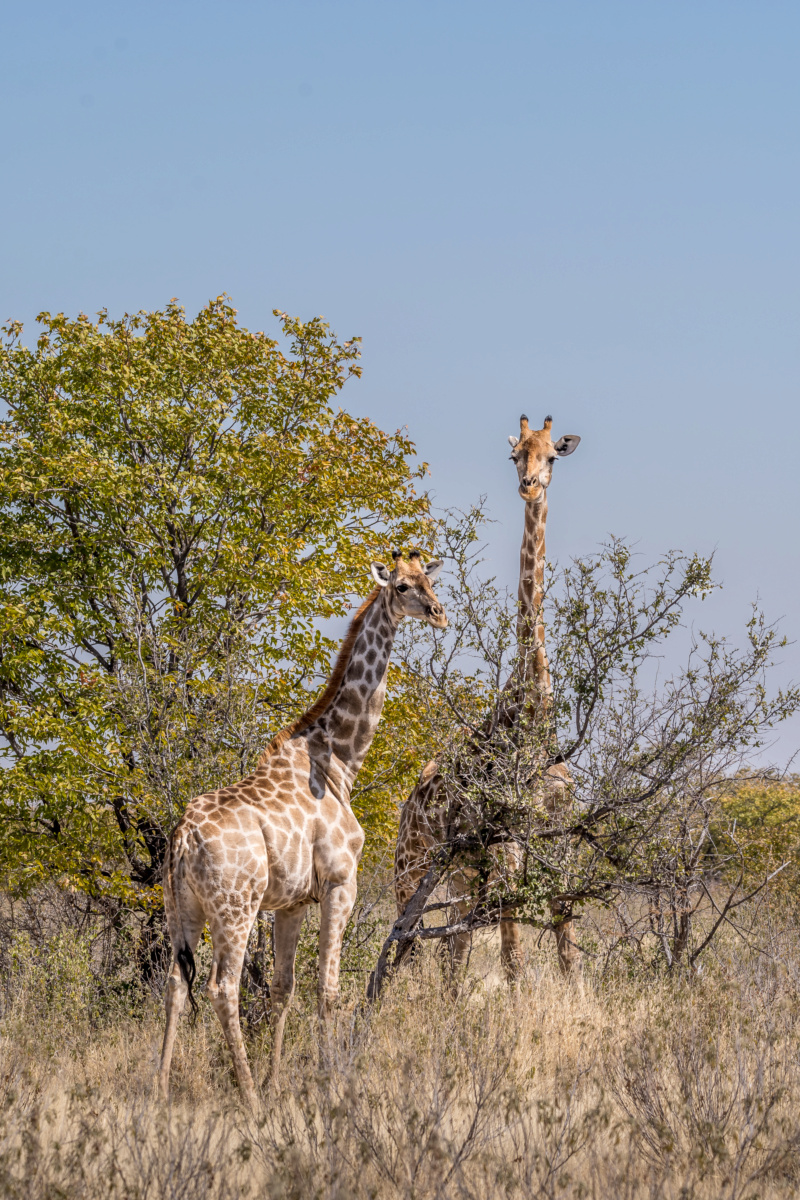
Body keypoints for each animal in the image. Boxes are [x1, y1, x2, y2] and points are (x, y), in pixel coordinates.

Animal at [155, 552, 443, 1104]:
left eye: (429, 580)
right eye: (401, 586)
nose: (438, 613)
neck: (339, 760)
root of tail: (182, 838)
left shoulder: (290, 902)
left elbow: (284, 987)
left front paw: (277, 1080)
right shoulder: (340, 882)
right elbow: (327, 988)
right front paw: (329, 1081)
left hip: (182, 908)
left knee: (176, 984)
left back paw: (156, 1087)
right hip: (236, 906)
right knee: (222, 987)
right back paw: (245, 1096)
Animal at [395, 417, 578, 979]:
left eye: (553, 456)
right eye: (515, 455)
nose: (530, 487)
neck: (532, 716)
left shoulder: (558, 838)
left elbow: (566, 942)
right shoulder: (506, 845)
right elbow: (514, 951)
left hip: (459, 870)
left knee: (454, 950)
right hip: (412, 868)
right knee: (410, 945)